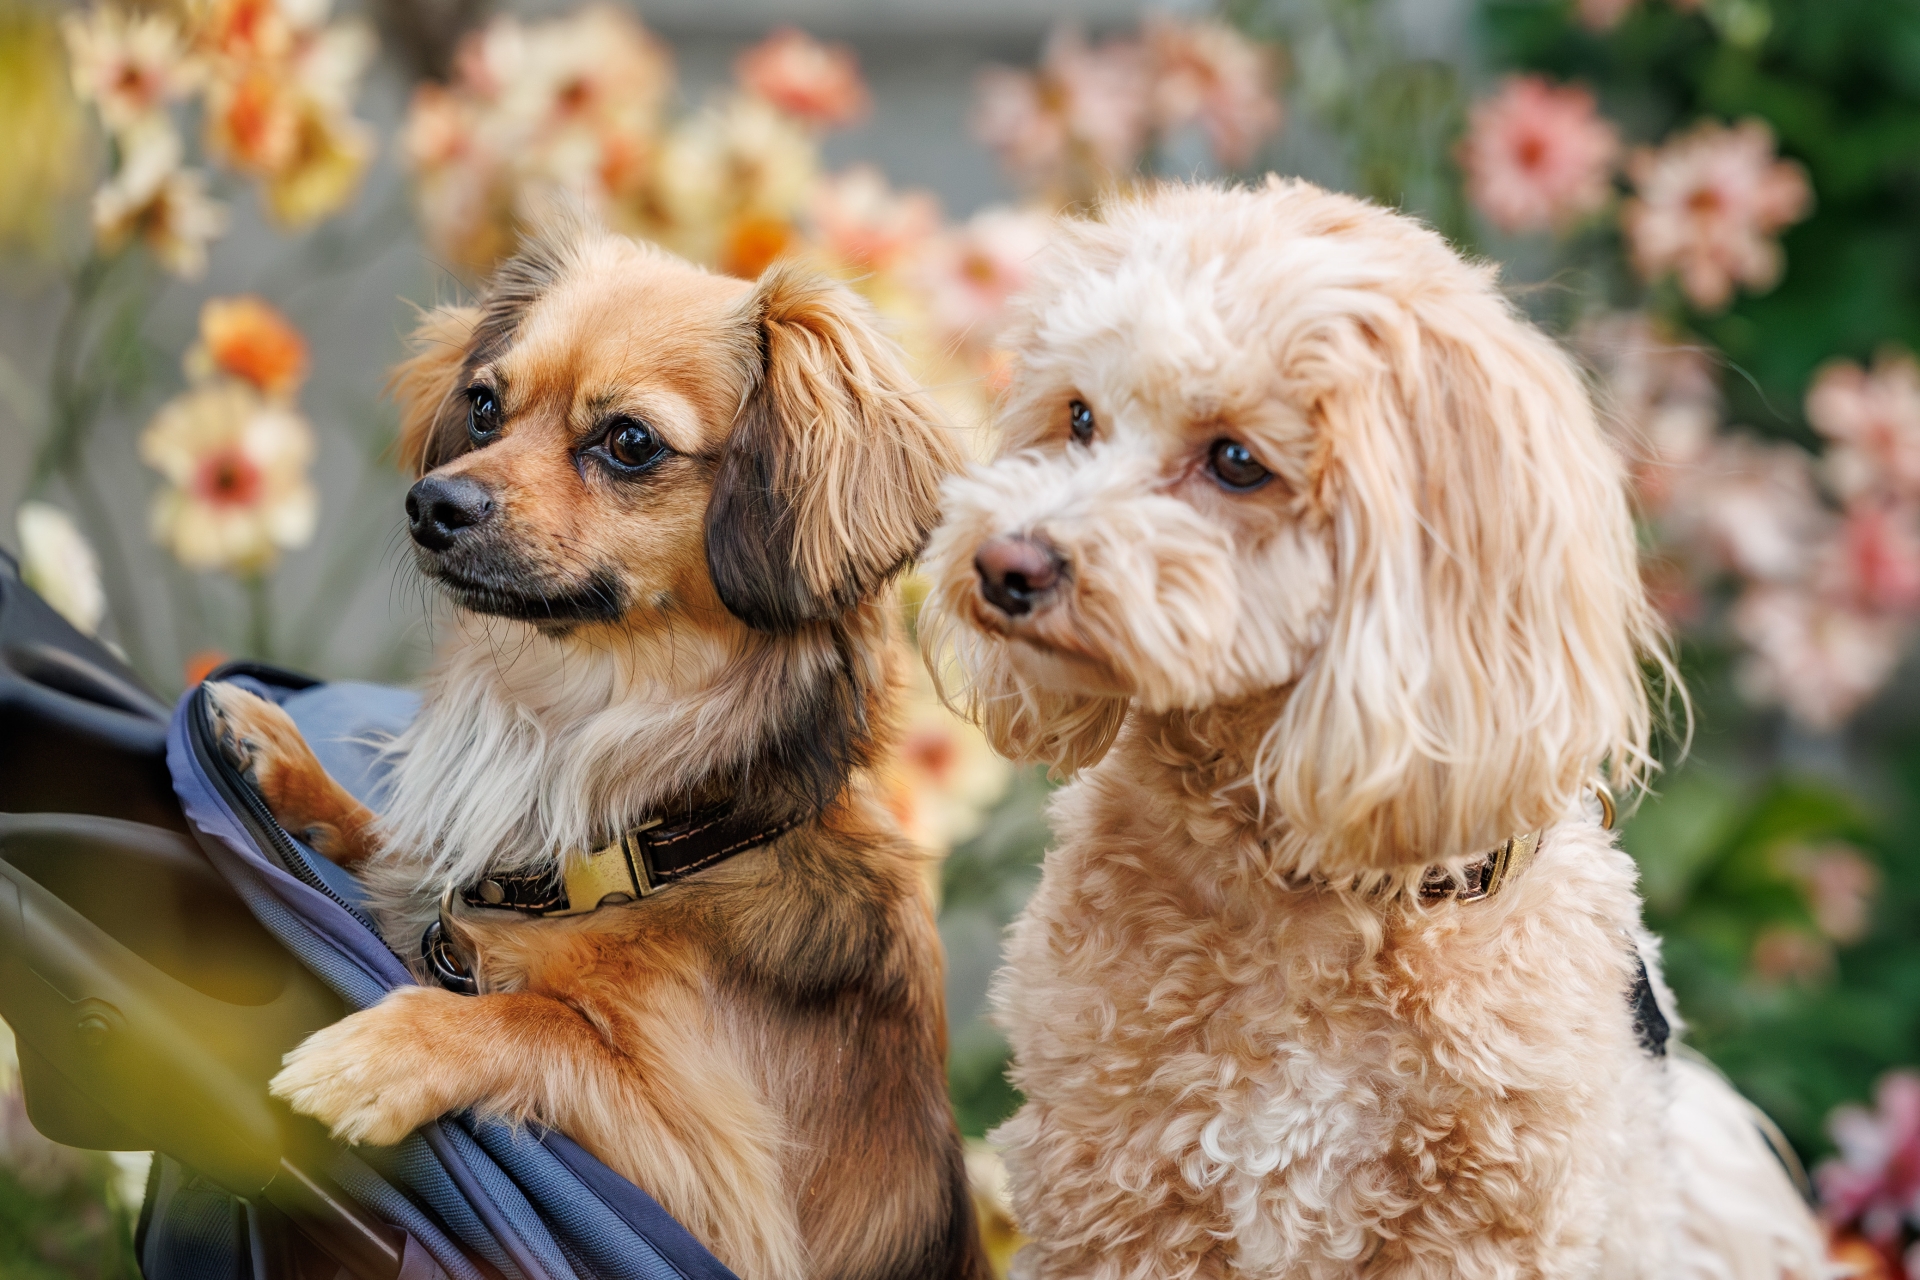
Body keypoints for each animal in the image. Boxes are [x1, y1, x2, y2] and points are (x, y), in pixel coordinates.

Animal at [206, 220, 990, 1280]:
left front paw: (379, 1054)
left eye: (628, 442)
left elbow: (535, 1021)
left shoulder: (723, 1204)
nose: (430, 503)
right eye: (484, 408)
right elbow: (402, 844)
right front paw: (286, 762)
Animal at [921, 180, 1835, 1280]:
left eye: (1237, 460)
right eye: (1079, 417)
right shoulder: (1119, 1192)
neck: (1308, 882)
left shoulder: (1488, 1225)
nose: (1003, 564)